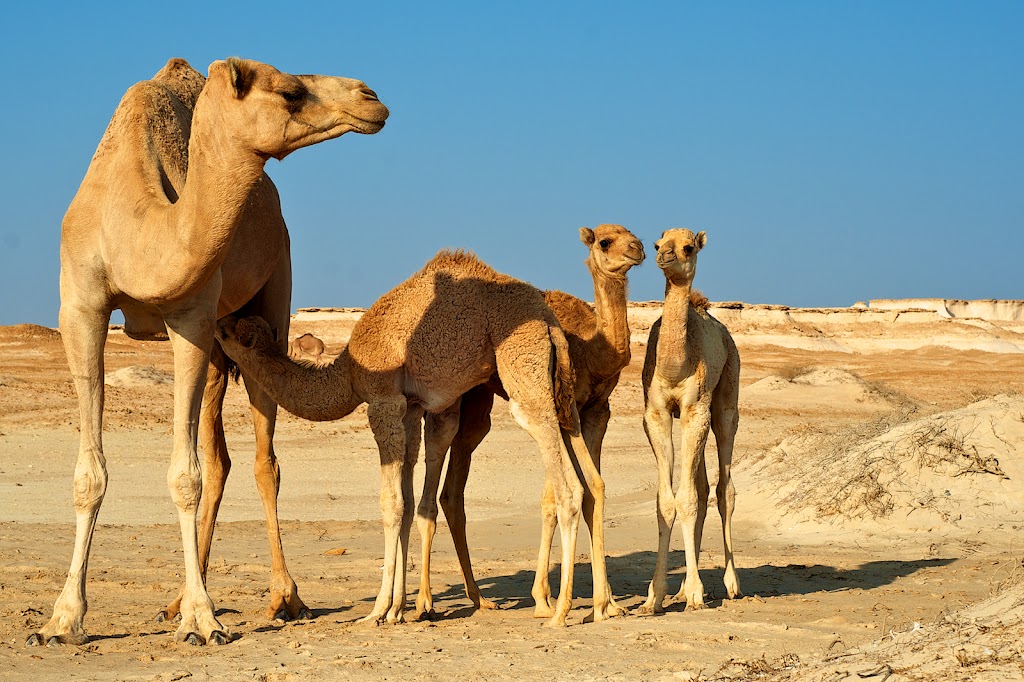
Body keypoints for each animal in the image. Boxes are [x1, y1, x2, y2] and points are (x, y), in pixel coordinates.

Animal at [29, 55, 387, 647]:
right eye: (290, 92)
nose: (371, 97)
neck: (137, 229)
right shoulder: (80, 309)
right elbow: (90, 474)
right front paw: (62, 619)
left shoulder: (191, 316)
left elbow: (185, 475)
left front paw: (203, 620)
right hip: (225, 336)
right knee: (219, 459)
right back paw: (174, 600)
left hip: (274, 302)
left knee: (265, 461)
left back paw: (283, 597)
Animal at [216, 246, 614, 622]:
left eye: (229, 332)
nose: (217, 321)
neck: (348, 372)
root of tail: (549, 323)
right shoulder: (409, 408)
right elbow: (407, 502)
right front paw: (398, 610)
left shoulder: (383, 402)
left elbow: (391, 504)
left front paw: (378, 610)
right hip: (560, 388)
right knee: (586, 469)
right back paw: (601, 605)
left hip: (522, 366)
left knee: (566, 483)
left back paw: (559, 612)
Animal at [411, 222, 643, 614]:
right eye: (604, 241)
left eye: (633, 233)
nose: (638, 248)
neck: (593, 349)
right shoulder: (563, 408)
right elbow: (553, 500)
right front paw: (544, 599)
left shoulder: (597, 411)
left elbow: (593, 489)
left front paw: (609, 603)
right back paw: (424, 602)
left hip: (478, 402)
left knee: (454, 487)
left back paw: (479, 597)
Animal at [634, 227, 741, 610]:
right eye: (657, 243)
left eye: (688, 247)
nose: (663, 256)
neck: (674, 366)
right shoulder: (657, 414)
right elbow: (667, 500)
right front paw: (654, 597)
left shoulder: (696, 411)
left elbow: (689, 499)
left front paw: (695, 593)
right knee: (704, 486)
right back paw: (681, 589)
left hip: (726, 398)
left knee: (724, 490)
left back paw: (731, 584)